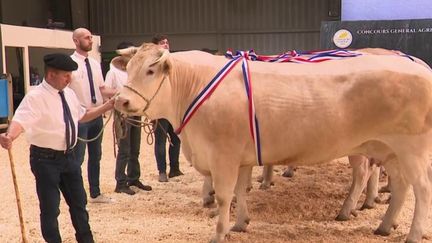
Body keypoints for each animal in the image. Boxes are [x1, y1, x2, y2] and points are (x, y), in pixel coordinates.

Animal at [114, 44, 432, 243]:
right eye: (128, 69)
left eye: (151, 71)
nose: (122, 101)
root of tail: (420, 67)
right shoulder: (240, 156)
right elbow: (240, 191)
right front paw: (240, 223)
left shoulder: (223, 155)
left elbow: (224, 196)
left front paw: (219, 233)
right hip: (389, 150)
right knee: (400, 186)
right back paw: (384, 226)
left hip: (411, 149)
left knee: (421, 188)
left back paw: (412, 234)